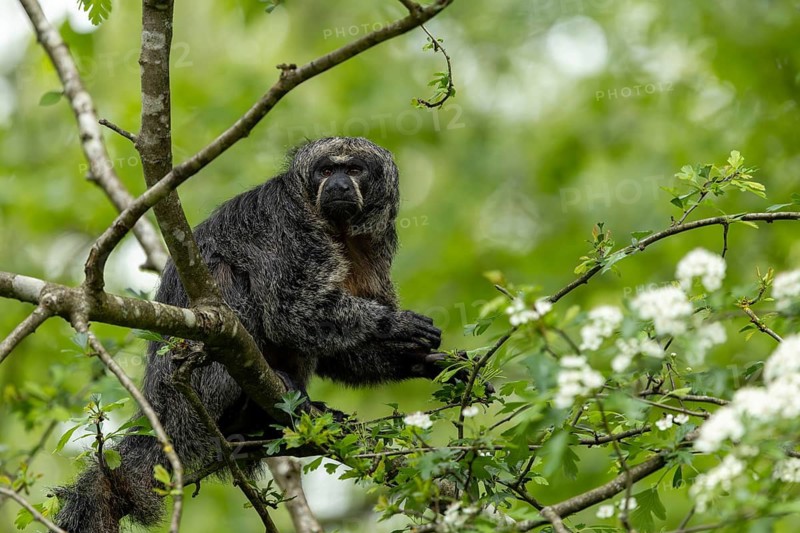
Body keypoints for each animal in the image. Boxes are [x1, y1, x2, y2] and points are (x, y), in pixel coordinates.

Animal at [54, 137, 462, 532]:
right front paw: (396, 324)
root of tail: (159, 410)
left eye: (354, 170)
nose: (338, 185)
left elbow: (337, 351)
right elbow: (291, 309)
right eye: (326, 170)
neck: (338, 230)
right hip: (195, 394)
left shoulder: (375, 246)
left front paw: (426, 363)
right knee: (232, 284)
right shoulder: (284, 220)